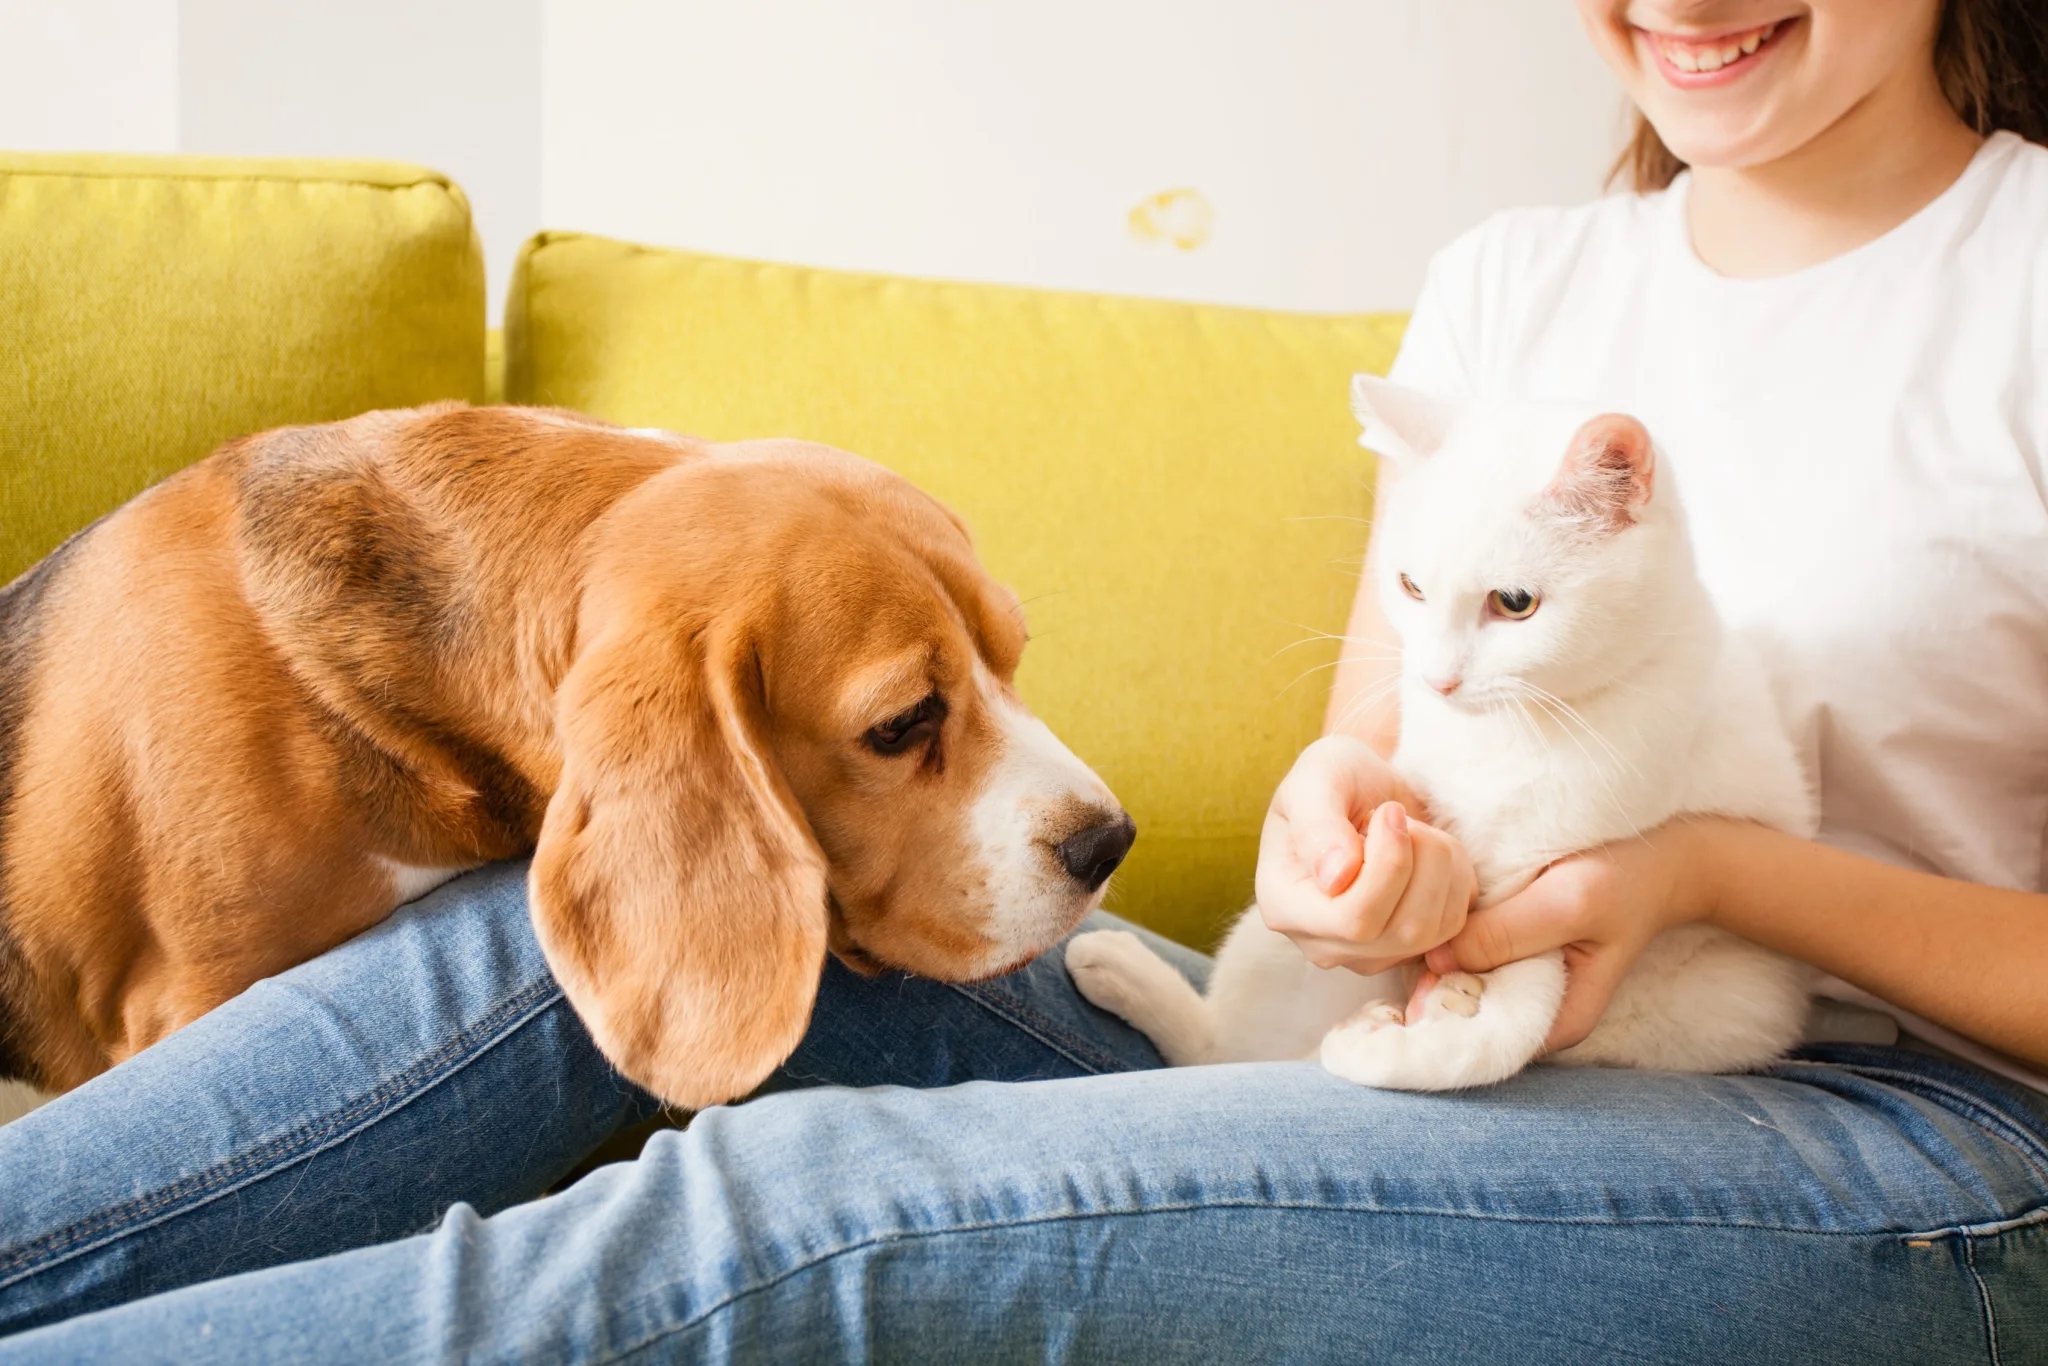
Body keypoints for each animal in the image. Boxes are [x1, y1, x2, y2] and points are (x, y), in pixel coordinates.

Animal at [1064, 378, 1818, 1097]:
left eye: (1514, 603)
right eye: (1411, 587)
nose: (1436, 680)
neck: (1516, 730)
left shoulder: (1549, 890)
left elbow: (1511, 1024)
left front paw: (1411, 1047)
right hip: (1268, 946)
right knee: (1224, 1048)